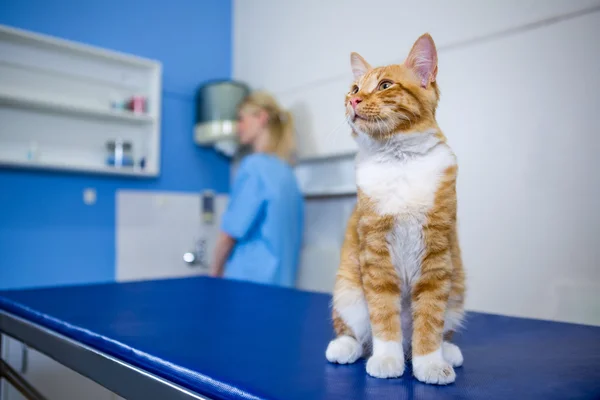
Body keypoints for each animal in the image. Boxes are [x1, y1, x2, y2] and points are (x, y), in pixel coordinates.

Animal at [326, 33, 466, 384]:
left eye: (385, 85)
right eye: (354, 88)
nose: (353, 101)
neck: (398, 160)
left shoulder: (436, 257)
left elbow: (429, 319)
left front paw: (430, 363)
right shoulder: (375, 253)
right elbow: (383, 314)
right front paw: (387, 359)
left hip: (457, 290)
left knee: (441, 330)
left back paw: (447, 352)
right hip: (347, 289)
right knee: (354, 331)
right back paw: (345, 347)